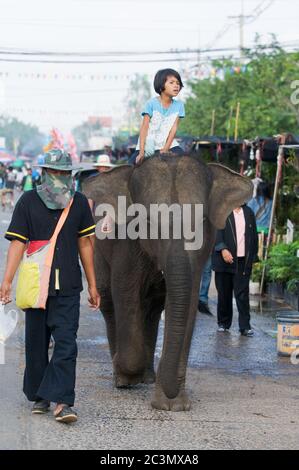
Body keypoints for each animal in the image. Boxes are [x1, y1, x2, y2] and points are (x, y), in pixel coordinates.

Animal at [83, 155, 254, 412]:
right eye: (147, 221)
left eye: (203, 221)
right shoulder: (126, 245)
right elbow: (125, 293)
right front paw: (125, 372)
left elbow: (187, 302)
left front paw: (173, 406)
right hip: (99, 252)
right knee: (109, 302)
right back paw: (122, 377)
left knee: (152, 310)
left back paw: (148, 377)